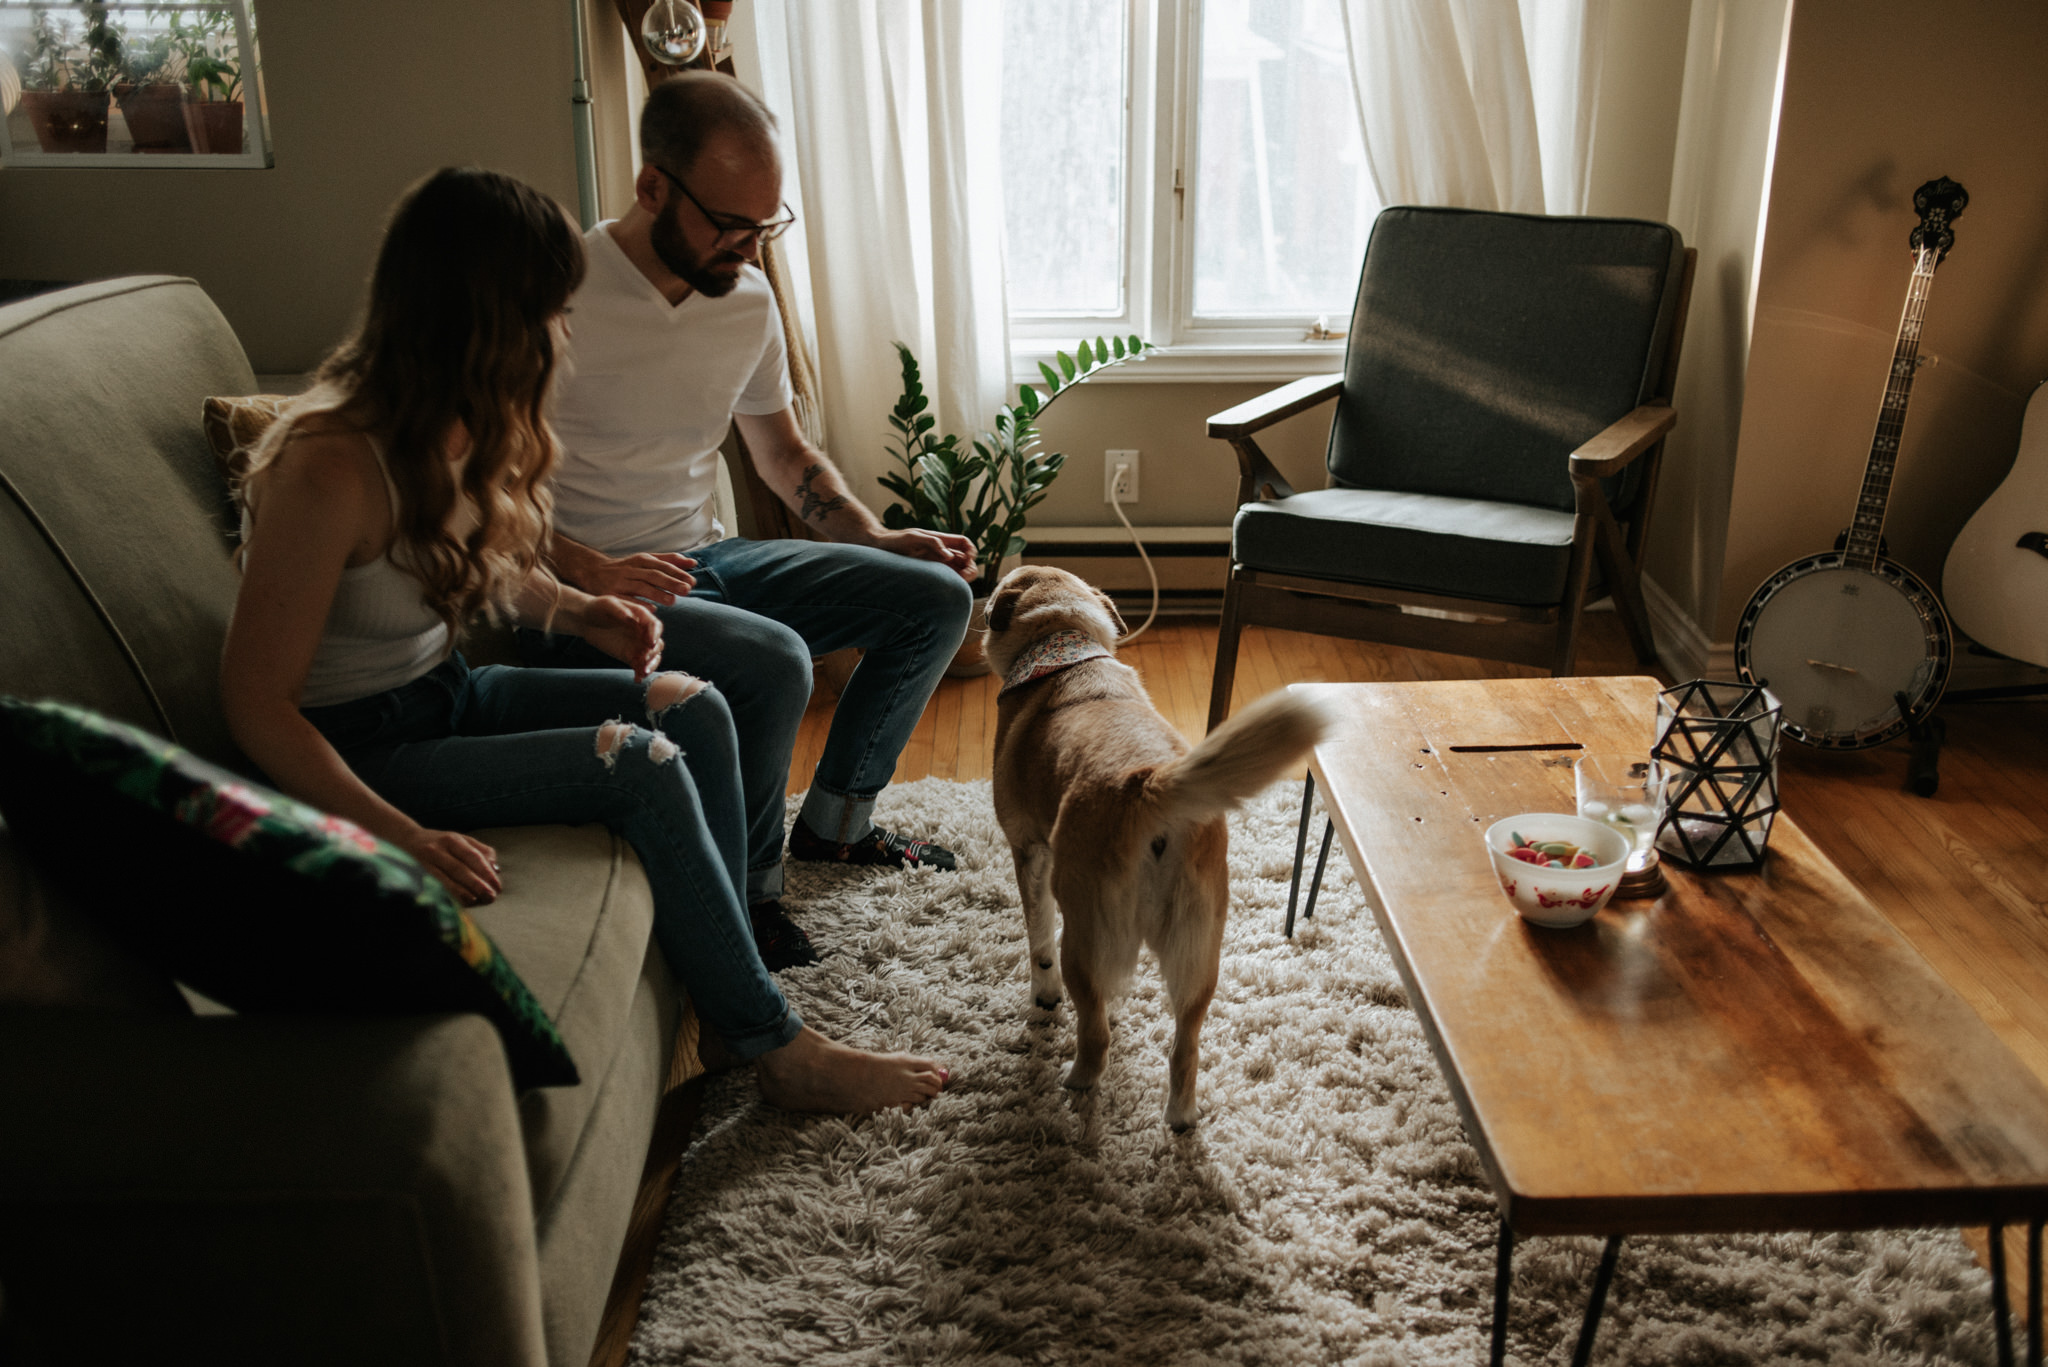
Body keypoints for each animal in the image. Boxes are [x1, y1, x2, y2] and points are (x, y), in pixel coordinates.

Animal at [987, 561, 1335, 1131]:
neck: (1063, 650)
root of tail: (1148, 782)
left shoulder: (1029, 851)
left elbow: (1038, 941)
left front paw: (1043, 998)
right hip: (1198, 955)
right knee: (1184, 1048)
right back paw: (1181, 1117)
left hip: (1084, 937)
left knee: (1096, 1033)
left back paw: (1077, 1086)